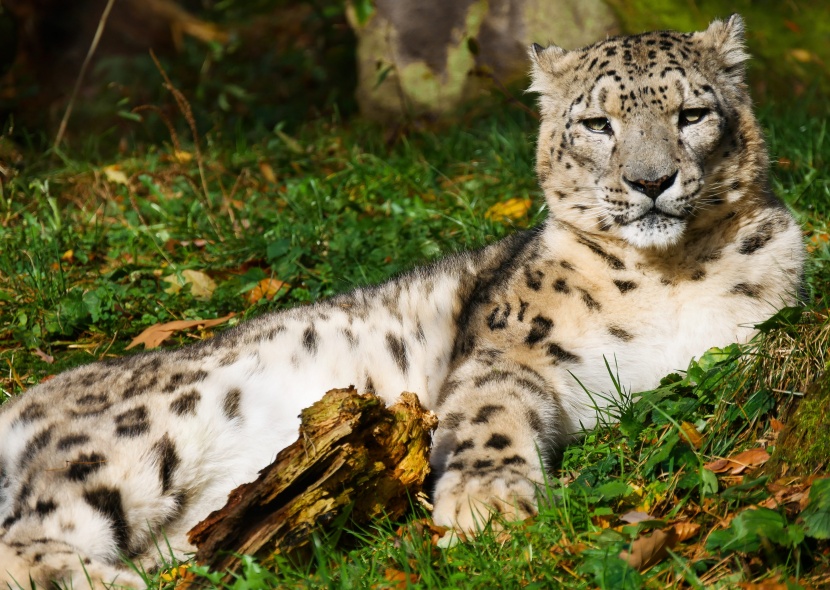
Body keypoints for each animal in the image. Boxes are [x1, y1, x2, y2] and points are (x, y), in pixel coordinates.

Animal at [0, 13, 808, 590]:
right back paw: (98, 581)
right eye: (597, 123)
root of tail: (29, 398)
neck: (670, 276)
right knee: (26, 535)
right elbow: (488, 416)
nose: (650, 181)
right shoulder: (513, 351)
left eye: (692, 113)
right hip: (131, 440)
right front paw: (485, 506)